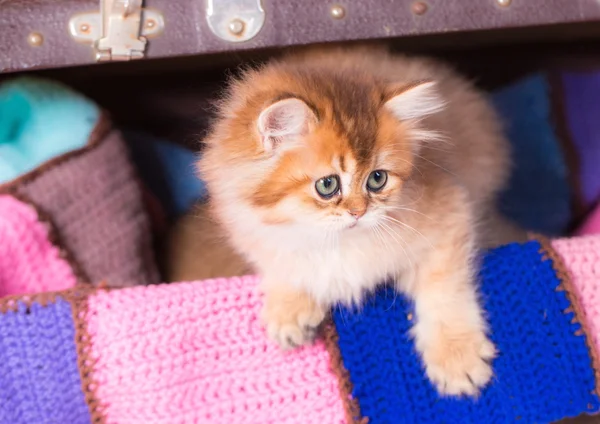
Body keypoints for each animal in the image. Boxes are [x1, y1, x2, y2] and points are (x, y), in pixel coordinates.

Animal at [179, 46, 524, 398]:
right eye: (327, 185)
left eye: (377, 179)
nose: (359, 212)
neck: (332, 240)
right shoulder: (251, 228)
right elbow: (281, 265)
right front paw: (290, 308)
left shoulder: (450, 215)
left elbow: (444, 290)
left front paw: (456, 355)